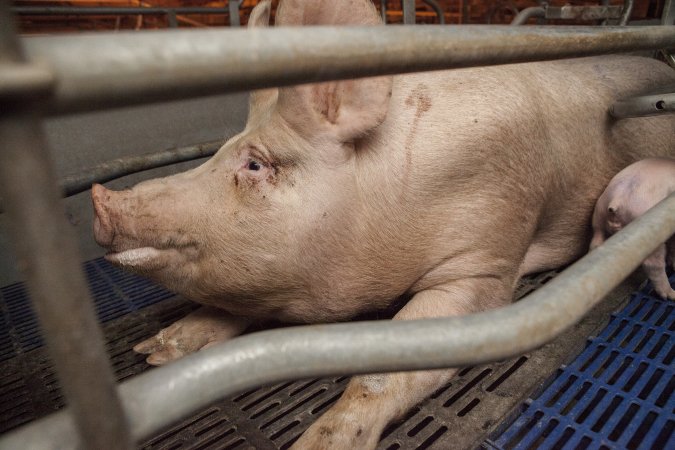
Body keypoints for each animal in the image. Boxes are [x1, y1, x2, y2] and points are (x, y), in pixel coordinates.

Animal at [592, 158, 675, 298]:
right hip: (649, 234)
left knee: (595, 244)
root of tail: (617, 200)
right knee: (652, 264)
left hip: (598, 219)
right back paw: (671, 294)